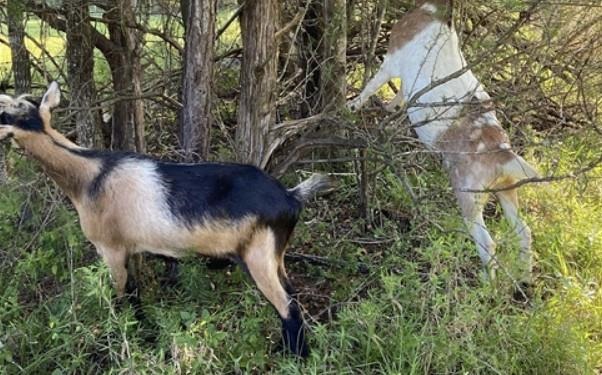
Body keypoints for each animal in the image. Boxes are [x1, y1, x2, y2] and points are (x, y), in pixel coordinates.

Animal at [0, 82, 330, 358]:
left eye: (7, 112)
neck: (90, 176)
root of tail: (291, 196)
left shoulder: (111, 248)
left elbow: (123, 295)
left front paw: (127, 338)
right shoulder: (130, 248)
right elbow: (135, 291)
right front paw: (145, 333)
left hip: (258, 255)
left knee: (287, 306)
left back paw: (293, 356)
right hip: (276, 255)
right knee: (292, 295)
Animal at [344, 0, 536, 290]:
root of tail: (504, 156)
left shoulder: (391, 61)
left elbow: (370, 87)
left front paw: (351, 106)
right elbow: (401, 96)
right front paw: (389, 109)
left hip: (469, 195)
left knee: (488, 242)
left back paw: (486, 286)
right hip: (506, 190)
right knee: (524, 231)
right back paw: (524, 278)